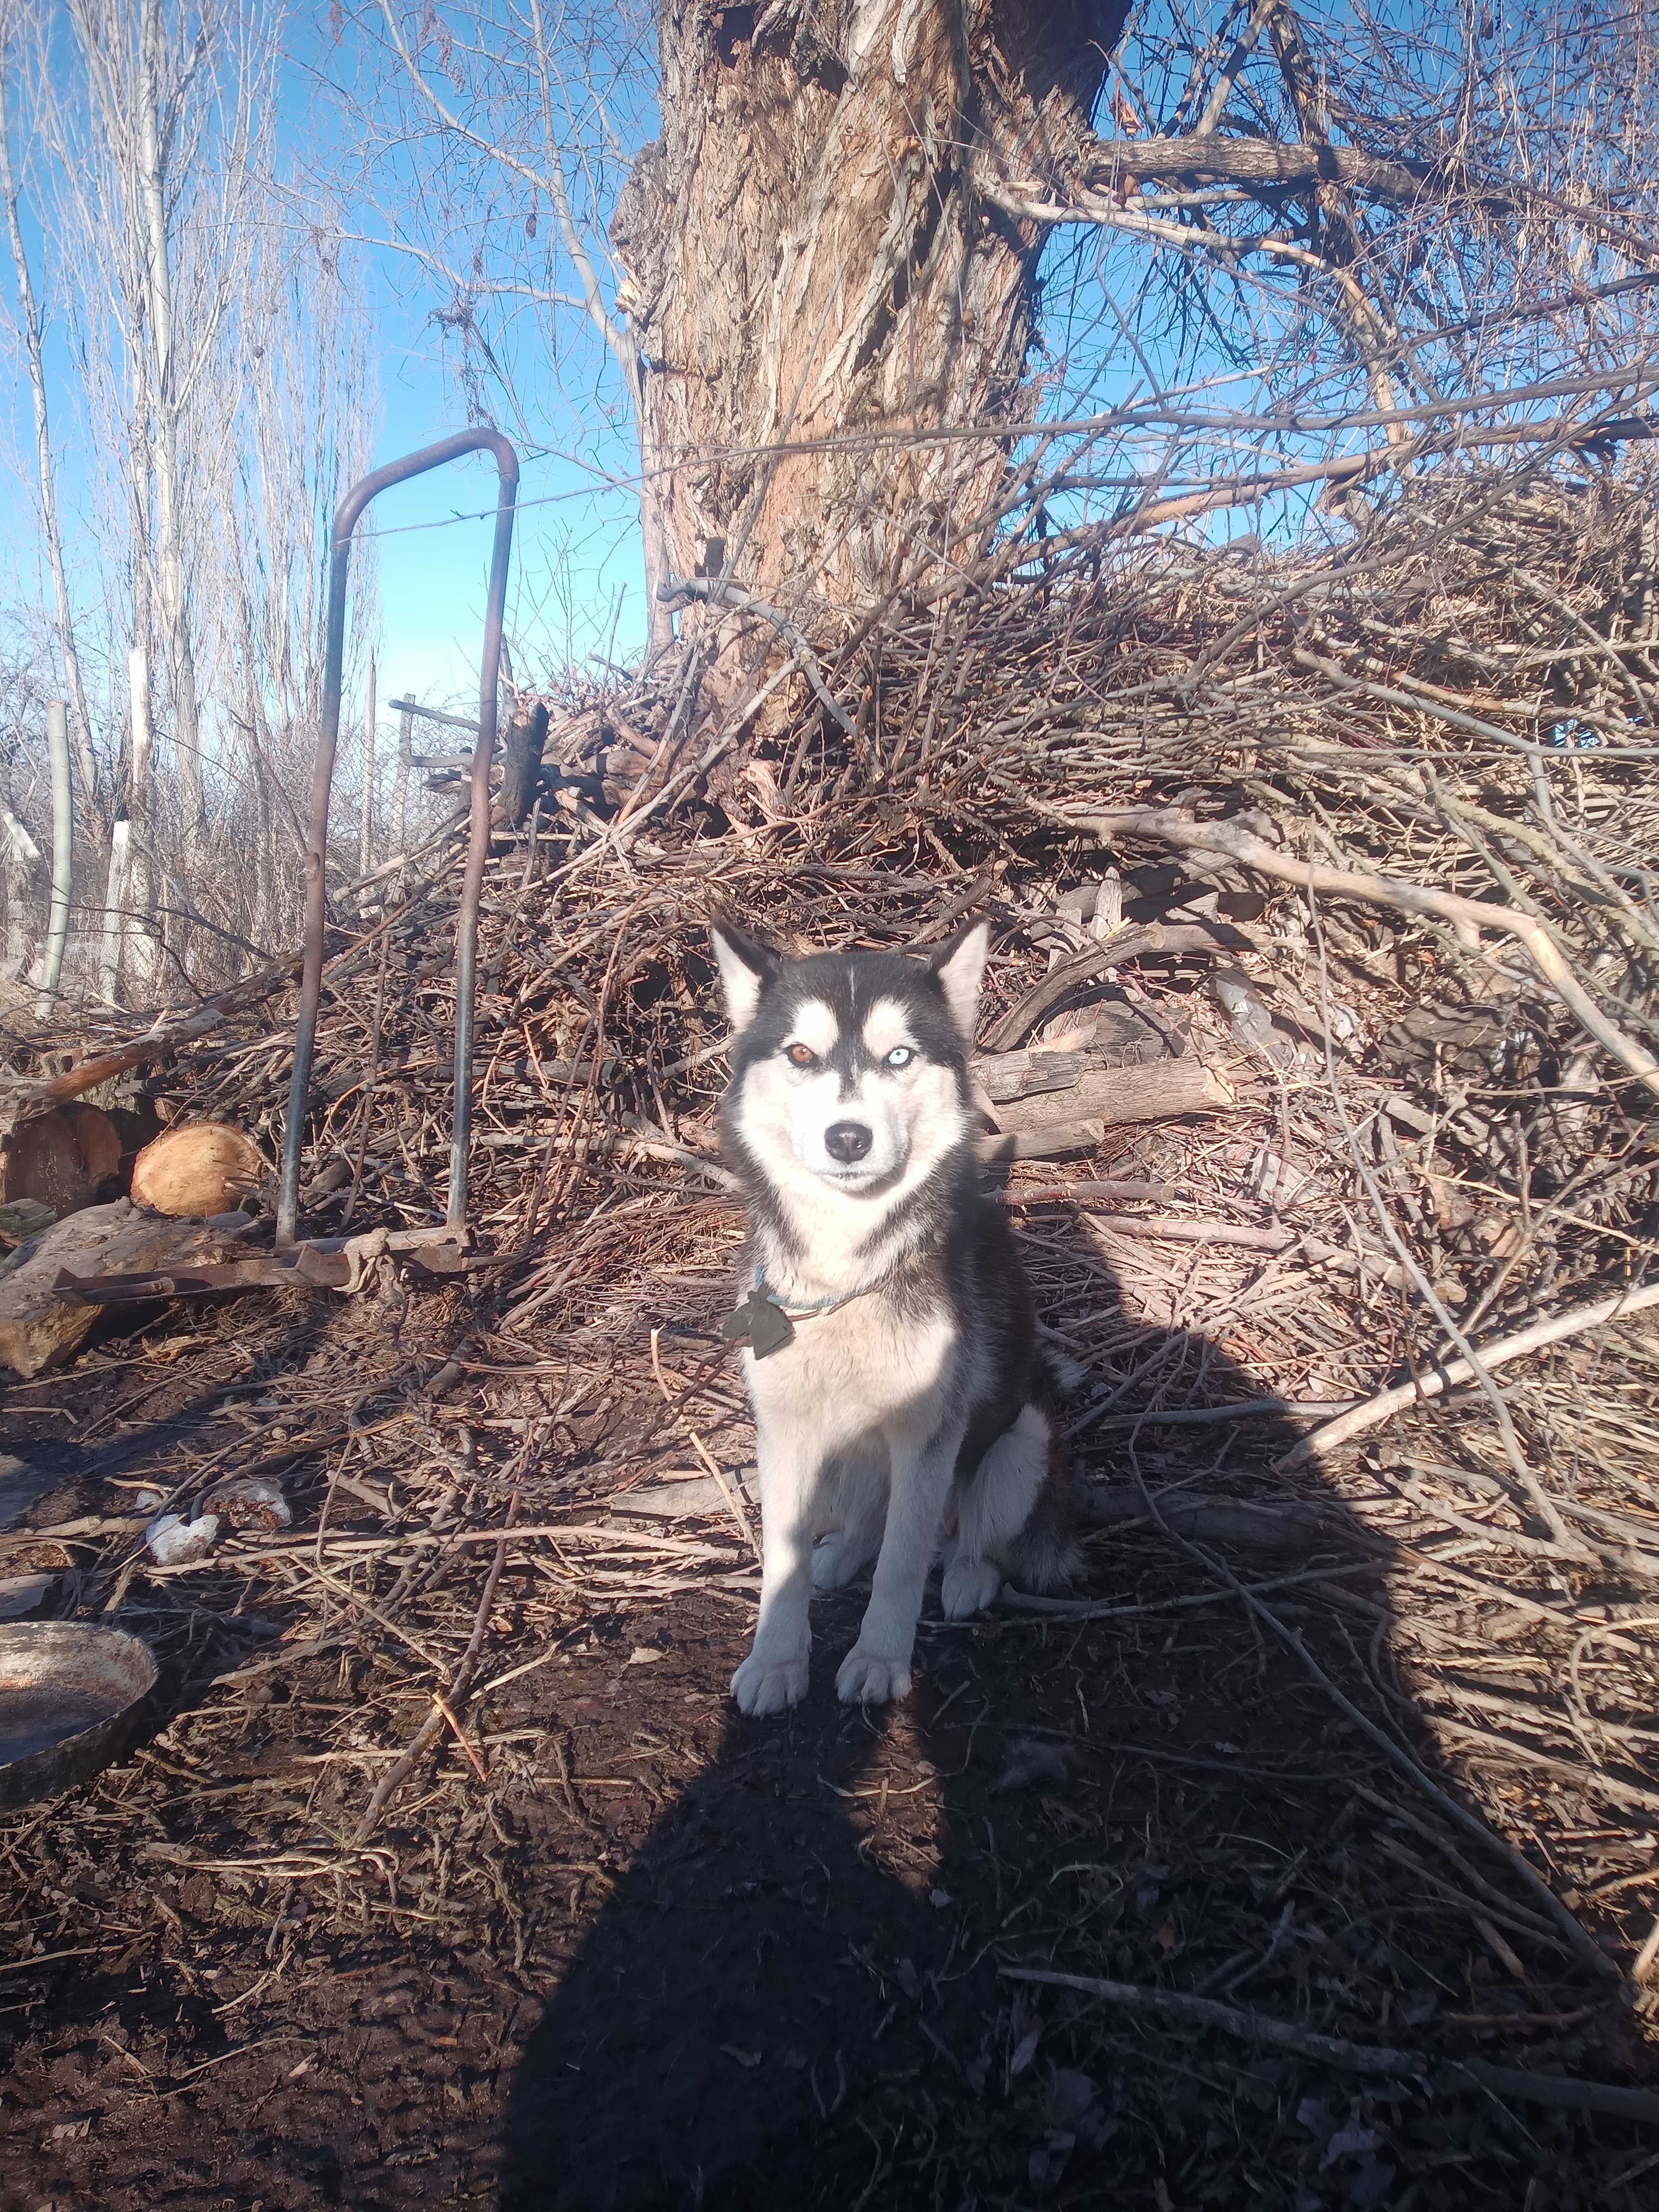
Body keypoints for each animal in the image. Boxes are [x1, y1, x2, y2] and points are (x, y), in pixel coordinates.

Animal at [709, 916, 1080, 1715]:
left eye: (900, 1055)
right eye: (801, 1054)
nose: (848, 1138)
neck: (846, 1269)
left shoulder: (929, 1435)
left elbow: (905, 1563)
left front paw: (879, 1658)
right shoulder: (783, 1428)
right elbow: (783, 1557)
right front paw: (777, 1661)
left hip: (1023, 1443)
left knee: (965, 1538)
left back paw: (967, 1575)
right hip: (845, 1459)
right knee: (867, 1522)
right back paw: (842, 1553)